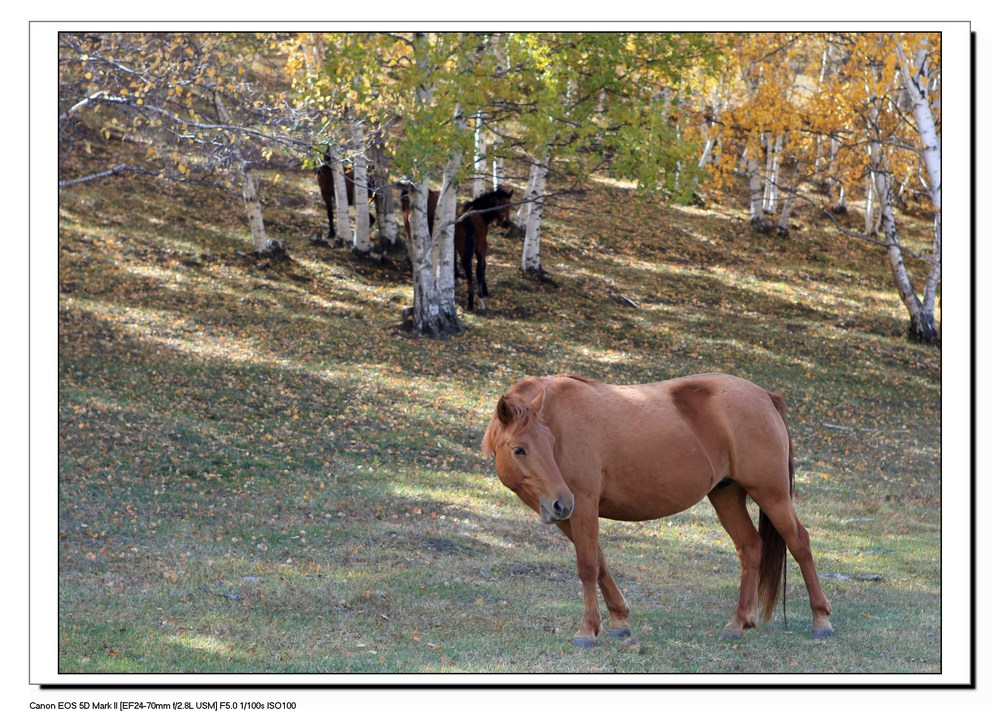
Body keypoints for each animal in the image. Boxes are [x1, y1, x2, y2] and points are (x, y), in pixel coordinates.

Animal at [484, 376, 836, 648]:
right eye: (519, 449)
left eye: (550, 442)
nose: (561, 502)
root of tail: (765, 395)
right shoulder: (570, 516)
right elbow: (600, 563)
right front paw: (619, 622)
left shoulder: (582, 506)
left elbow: (587, 567)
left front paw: (587, 630)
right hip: (727, 495)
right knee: (750, 547)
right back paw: (738, 623)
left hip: (772, 495)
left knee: (800, 543)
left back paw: (821, 621)